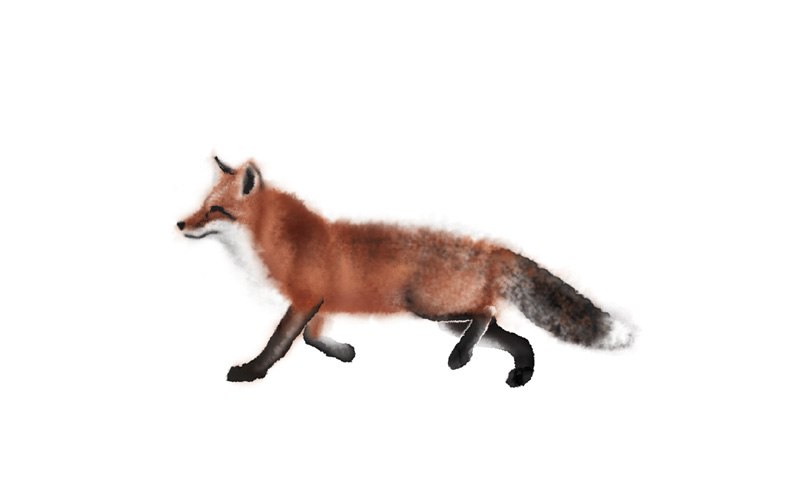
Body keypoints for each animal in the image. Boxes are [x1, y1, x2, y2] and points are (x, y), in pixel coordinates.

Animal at [177, 156, 633, 387]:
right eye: (202, 206)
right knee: (514, 336)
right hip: (444, 318)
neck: (281, 240)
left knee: (488, 313)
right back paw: (517, 370)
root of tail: (488, 247)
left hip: (429, 308)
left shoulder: (305, 300)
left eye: (216, 210)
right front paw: (344, 352)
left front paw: (251, 372)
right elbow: (312, 338)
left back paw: (461, 357)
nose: (181, 225)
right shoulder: (321, 304)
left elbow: (280, 343)